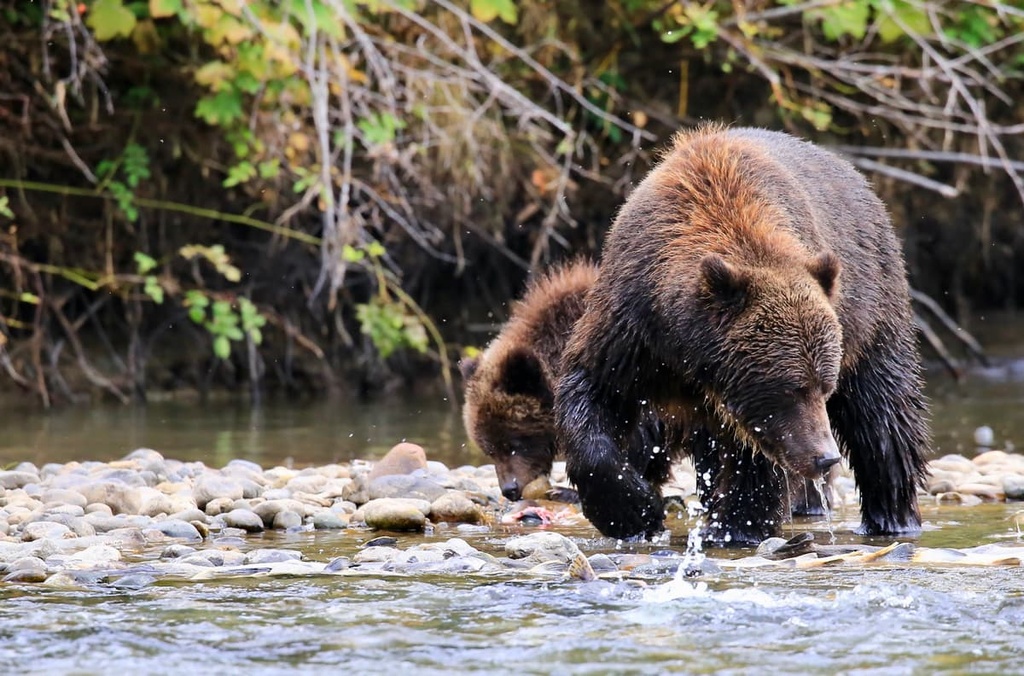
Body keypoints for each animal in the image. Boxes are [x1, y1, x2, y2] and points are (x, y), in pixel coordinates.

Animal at [555, 124, 929, 546]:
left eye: (824, 386)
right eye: (794, 387)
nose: (825, 456)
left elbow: (753, 457)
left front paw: (737, 525)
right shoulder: (631, 326)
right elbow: (593, 391)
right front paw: (633, 510)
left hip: (872, 312)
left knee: (883, 418)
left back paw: (891, 516)